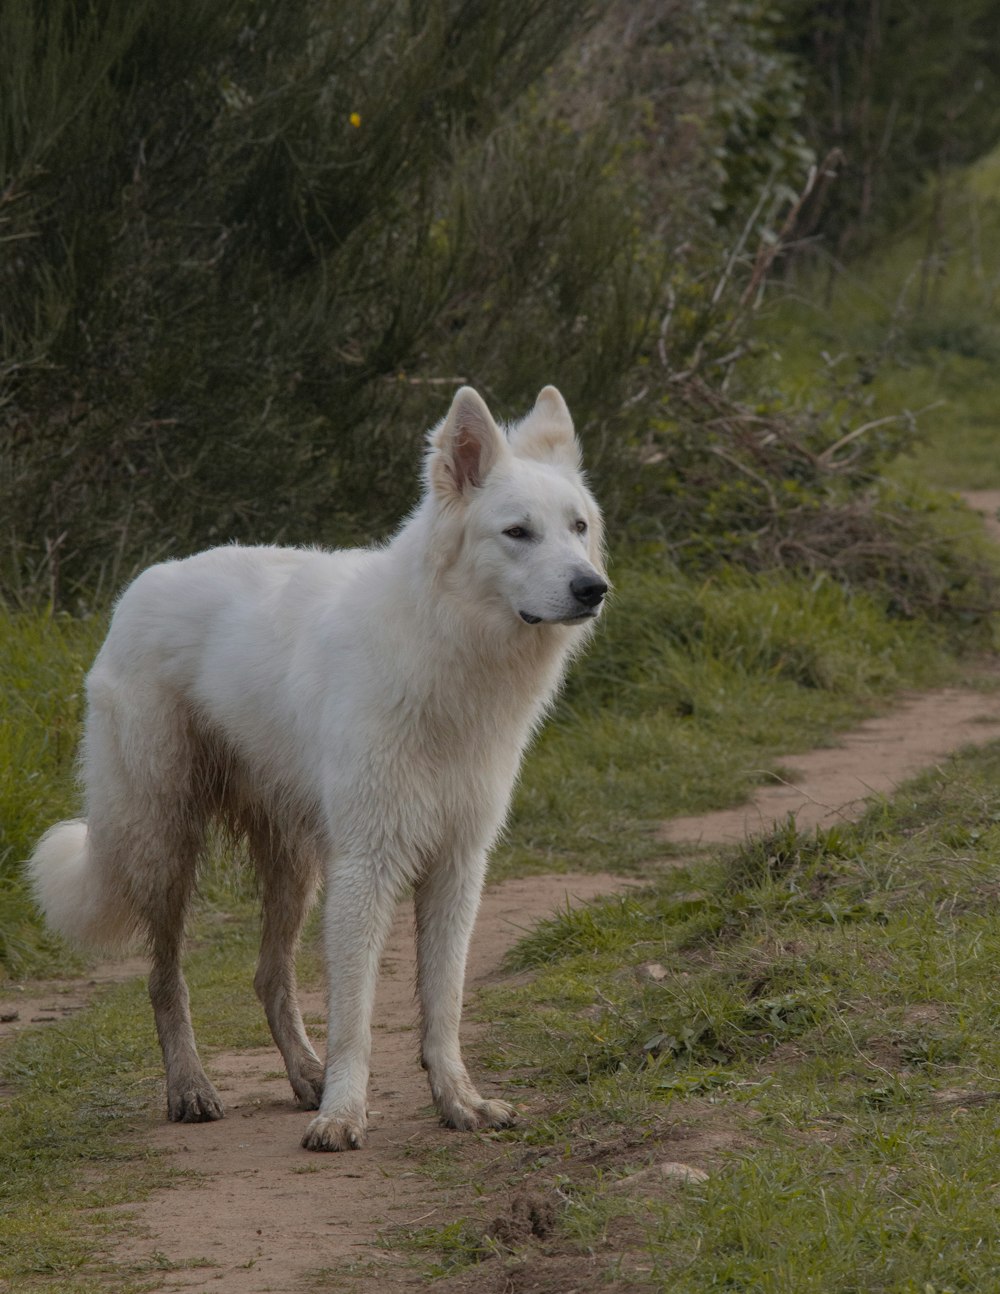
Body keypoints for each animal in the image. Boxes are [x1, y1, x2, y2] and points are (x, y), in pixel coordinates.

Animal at [31, 385, 605, 1154]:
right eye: (518, 532)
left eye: (577, 527)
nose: (593, 588)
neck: (443, 653)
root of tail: (145, 583)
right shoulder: (366, 867)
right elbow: (355, 1014)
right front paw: (344, 1115)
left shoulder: (457, 866)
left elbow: (443, 1005)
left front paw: (459, 1102)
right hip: (164, 851)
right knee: (165, 981)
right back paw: (191, 1088)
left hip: (293, 868)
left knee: (268, 977)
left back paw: (304, 1075)